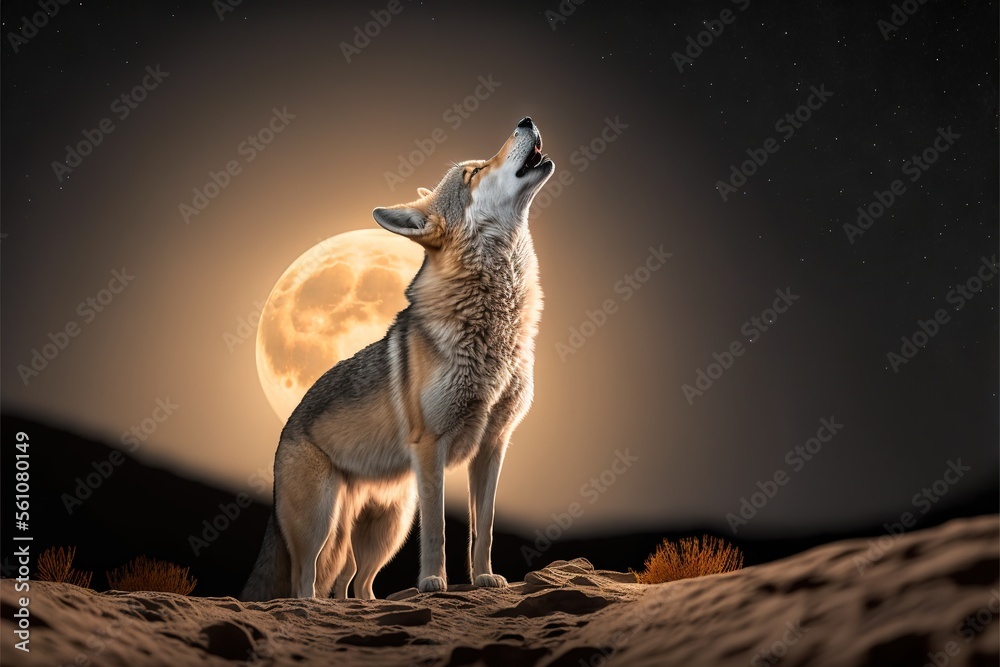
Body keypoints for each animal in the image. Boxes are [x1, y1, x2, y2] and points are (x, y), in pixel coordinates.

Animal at [240, 117, 554, 600]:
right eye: (473, 172)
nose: (526, 120)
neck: (493, 330)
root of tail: (284, 430)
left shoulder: (493, 446)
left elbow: (483, 529)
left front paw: (484, 578)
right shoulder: (431, 449)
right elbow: (439, 529)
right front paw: (433, 583)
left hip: (386, 527)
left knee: (355, 581)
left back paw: (362, 607)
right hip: (322, 525)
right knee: (304, 581)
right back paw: (313, 605)